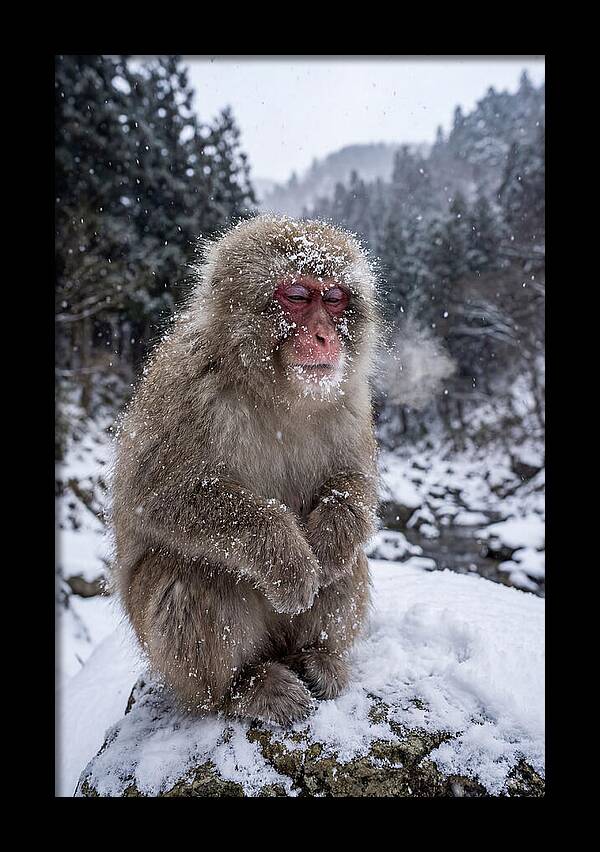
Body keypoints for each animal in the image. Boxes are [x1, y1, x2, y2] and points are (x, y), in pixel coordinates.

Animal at [111, 214, 381, 725]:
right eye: (296, 295)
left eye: (335, 297)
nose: (325, 336)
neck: (277, 393)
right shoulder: (187, 388)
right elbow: (157, 497)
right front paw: (289, 560)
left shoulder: (351, 399)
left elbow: (355, 482)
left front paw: (329, 541)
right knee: (190, 574)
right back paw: (243, 688)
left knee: (349, 563)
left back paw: (317, 657)